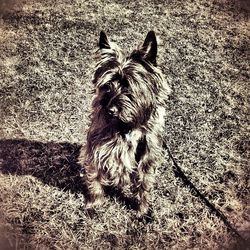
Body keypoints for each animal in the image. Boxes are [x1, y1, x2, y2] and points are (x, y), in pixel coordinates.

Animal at [79, 30, 171, 216]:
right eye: (107, 85)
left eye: (129, 86)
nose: (110, 110)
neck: (125, 128)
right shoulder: (95, 152)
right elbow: (94, 179)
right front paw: (94, 204)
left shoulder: (146, 158)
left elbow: (143, 184)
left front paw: (142, 210)